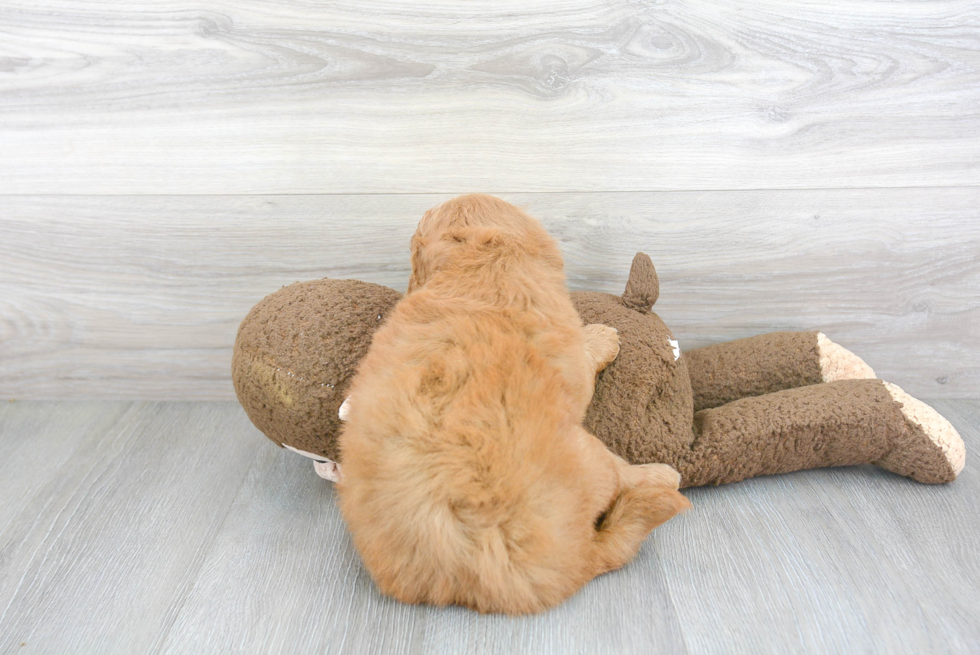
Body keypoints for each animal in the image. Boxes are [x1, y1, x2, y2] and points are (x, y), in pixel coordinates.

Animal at [336, 195, 688, 616]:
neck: (479, 261)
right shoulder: (571, 359)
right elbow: (586, 356)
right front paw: (601, 338)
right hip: (588, 452)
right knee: (622, 475)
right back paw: (663, 474)